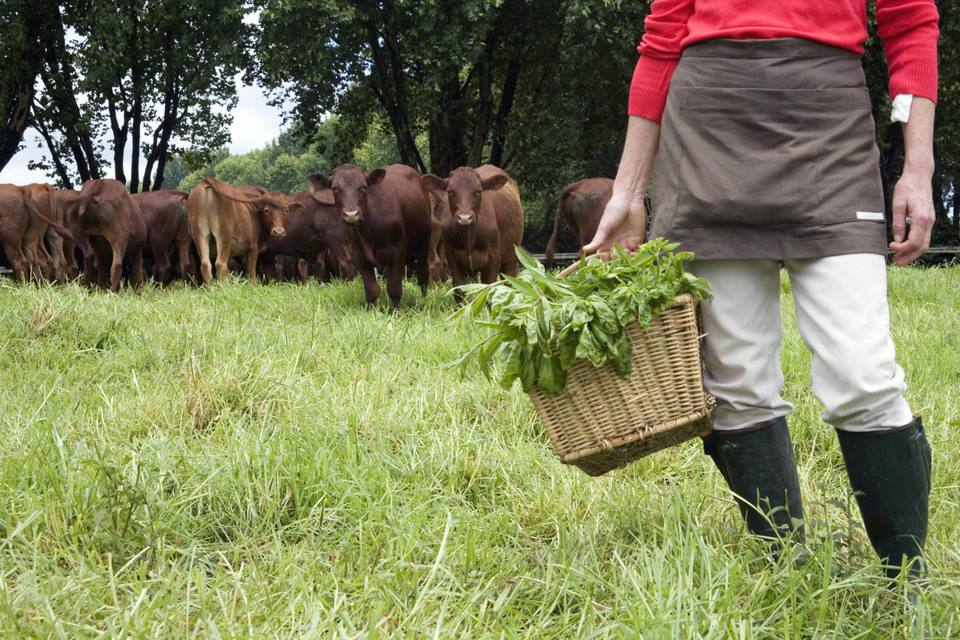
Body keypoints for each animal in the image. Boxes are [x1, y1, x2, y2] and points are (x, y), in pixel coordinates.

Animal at [310, 164, 434, 306]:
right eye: (335, 189)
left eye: (363, 187)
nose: (351, 214)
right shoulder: (359, 255)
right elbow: (371, 290)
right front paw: (372, 309)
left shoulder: (398, 249)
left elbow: (394, 287)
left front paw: (396, 310)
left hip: (424, 245)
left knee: (423, 275)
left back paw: (424, 300)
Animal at [422, 164, 524, 302]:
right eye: (450, 192)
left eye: (478, 191)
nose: (465, 218)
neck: (469, 237)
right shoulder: (453, 258)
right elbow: (459, 290)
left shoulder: (493, 257)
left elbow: (489, 289)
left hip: (510, 255)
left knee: (509, 279)